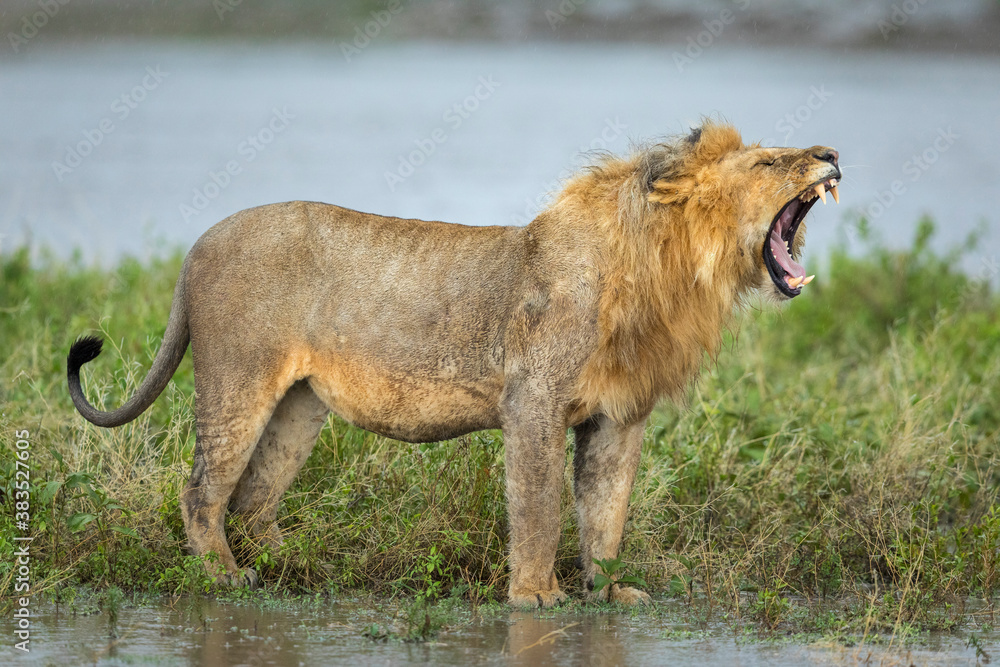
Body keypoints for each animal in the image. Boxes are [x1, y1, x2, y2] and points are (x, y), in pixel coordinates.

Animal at [67, 121, 840, 608]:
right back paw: (224, 580)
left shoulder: (617, 418)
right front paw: (536, 596)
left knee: (254, 497)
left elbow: (606, 515)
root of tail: (196, 244)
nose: (832, 153)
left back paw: (291, 565)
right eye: (768, 162)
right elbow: (540, 506)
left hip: (298, 406)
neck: (665, 269)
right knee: (202, 490)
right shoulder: (533, 402)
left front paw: (610, 592)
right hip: (238, 379)